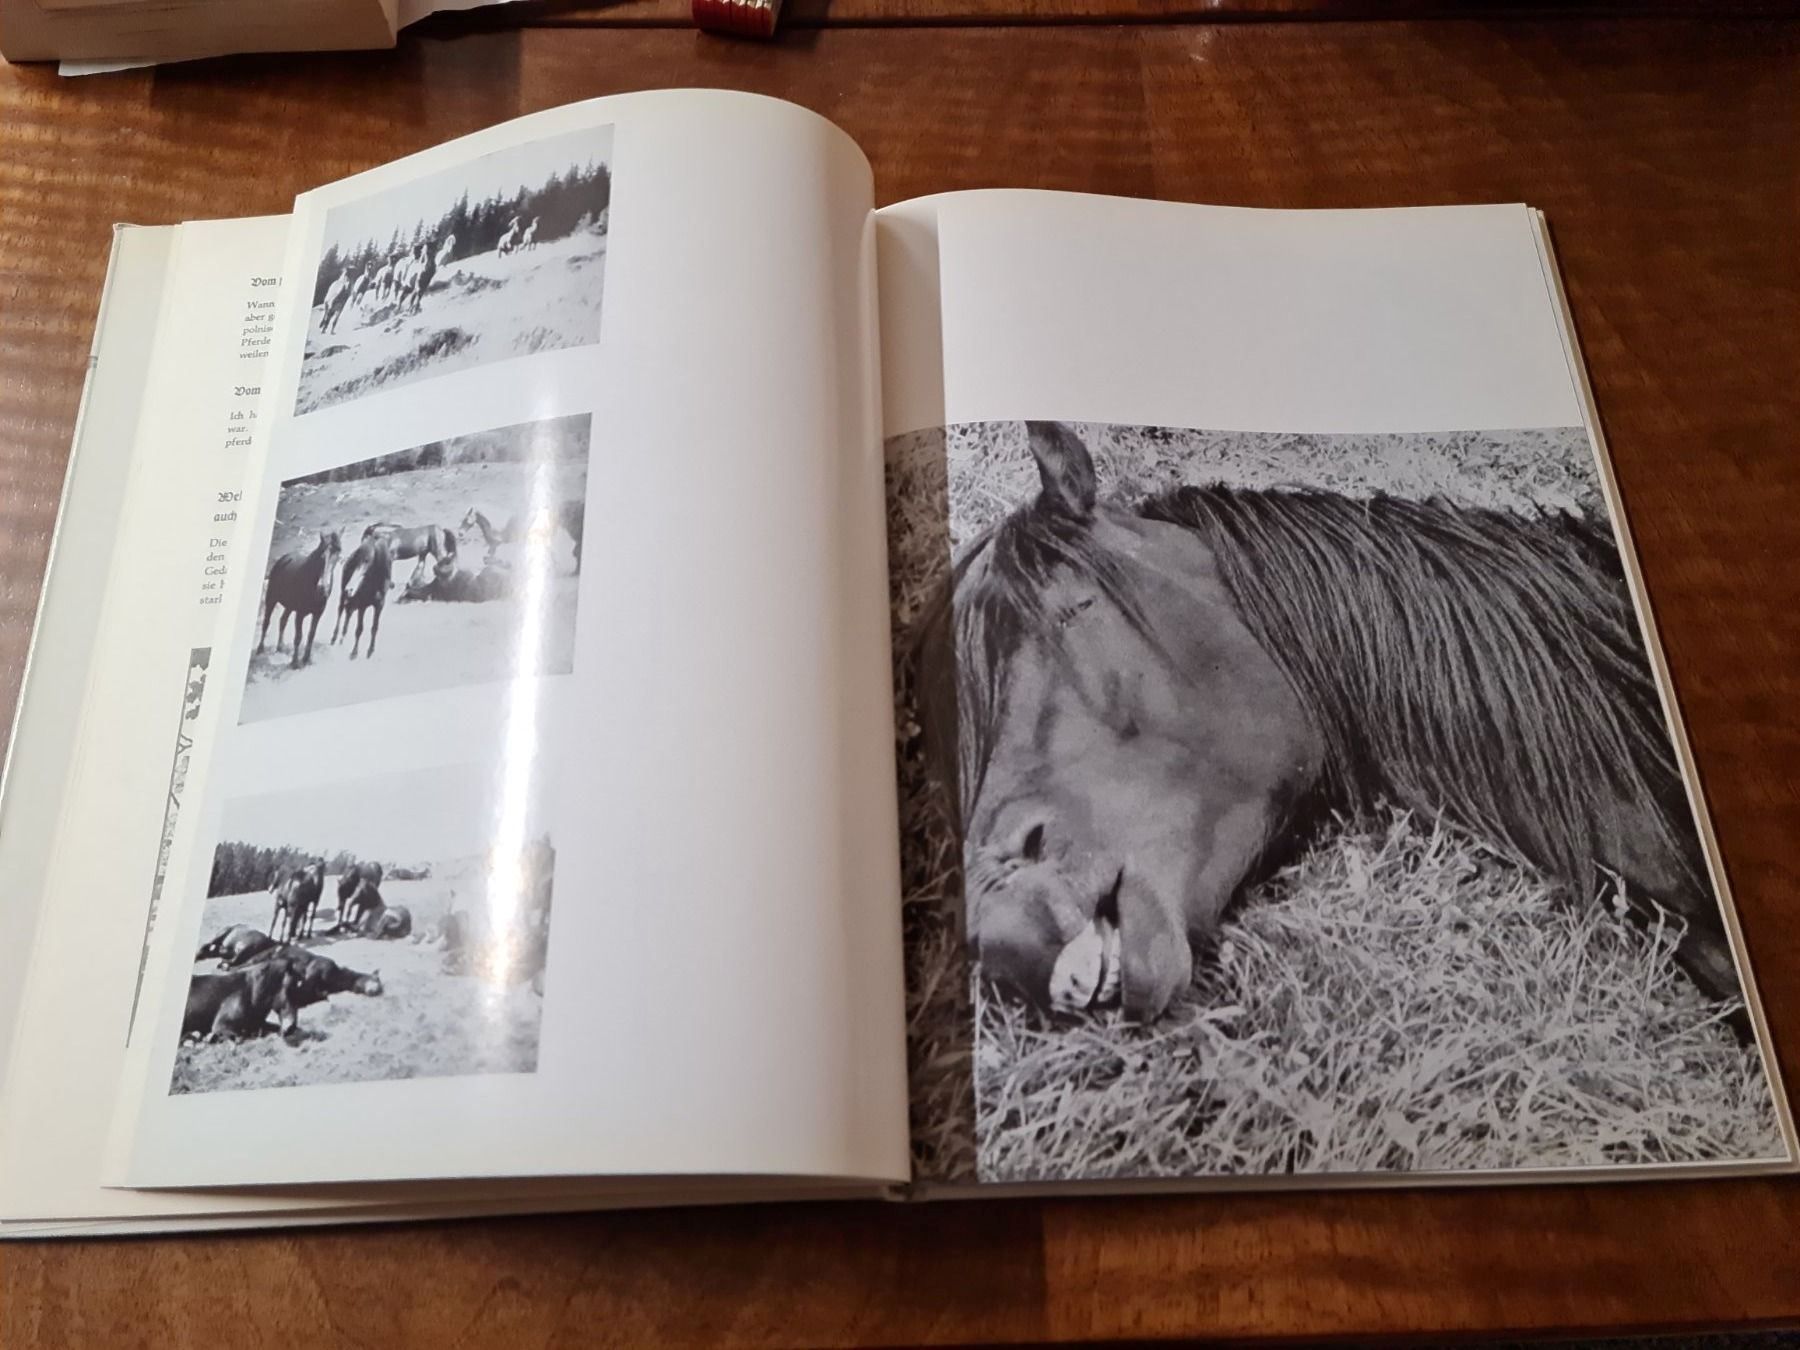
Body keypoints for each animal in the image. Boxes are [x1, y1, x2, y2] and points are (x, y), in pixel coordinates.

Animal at [259, 531, 342, 667]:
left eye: (338, 556)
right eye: (321, 557)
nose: (323, 588)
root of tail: (283, 559)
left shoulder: (318, 613)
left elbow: (311, 634)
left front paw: (306, 659)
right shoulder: (300, 614)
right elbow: (298, 636)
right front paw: (295, 662)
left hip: (289, 605)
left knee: (283, 620)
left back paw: (280, 647)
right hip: (271, 599)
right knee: (266, 622)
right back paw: (260, 649)